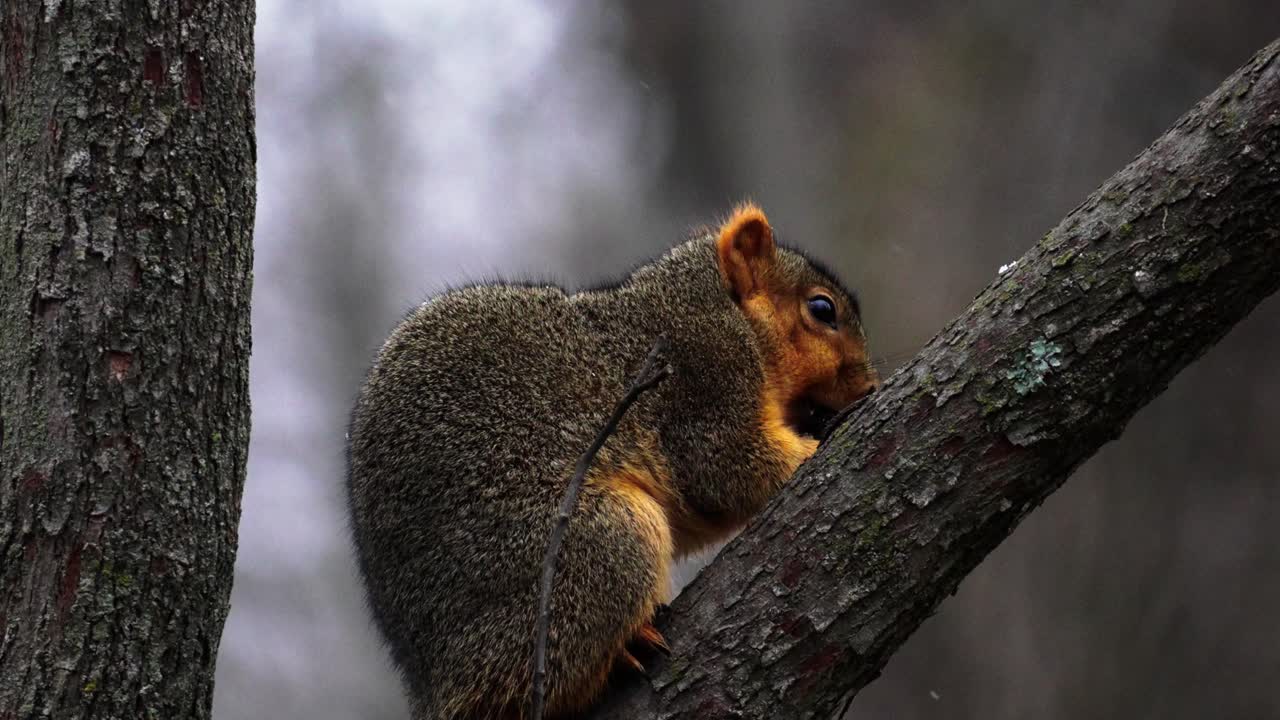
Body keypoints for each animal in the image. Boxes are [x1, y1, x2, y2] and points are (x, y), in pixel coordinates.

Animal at [346, 203, 879, 719]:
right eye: (822, 309)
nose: (869, 386)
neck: (712, 301)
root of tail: (438, 685)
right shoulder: (703, 374)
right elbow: (728, 469)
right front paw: (818, 442)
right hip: (603, 544)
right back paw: (623, 652)